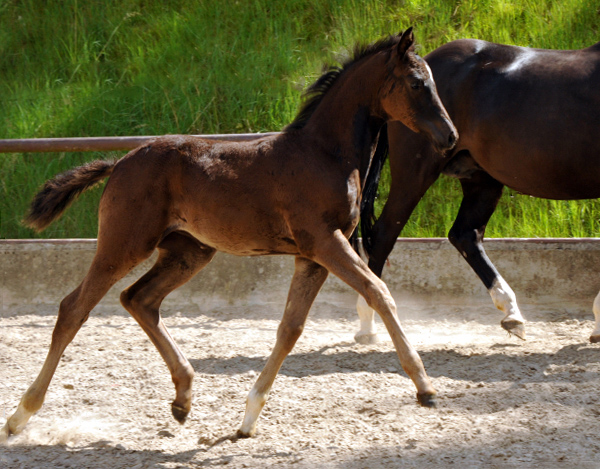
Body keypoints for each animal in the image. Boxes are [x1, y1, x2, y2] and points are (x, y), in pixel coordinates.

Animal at [2, 30, 458, 442]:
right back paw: (21, 414)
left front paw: (248, 417)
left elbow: (290, 328)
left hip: (189, 252)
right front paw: (426, 388)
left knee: (139, 299)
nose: (451, 136)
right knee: (73, 308)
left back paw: (183, 398)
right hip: (124, 244)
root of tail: (119, 164)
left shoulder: (311, 255)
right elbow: (379, 292)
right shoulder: (325, 242)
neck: (324, 154)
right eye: (417, 83)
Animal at [352, 37, 600, 344]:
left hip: (482, 179)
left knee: (465, 234)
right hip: (415, 174)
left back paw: (512, 314)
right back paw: (368, 324)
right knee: (384, 234)